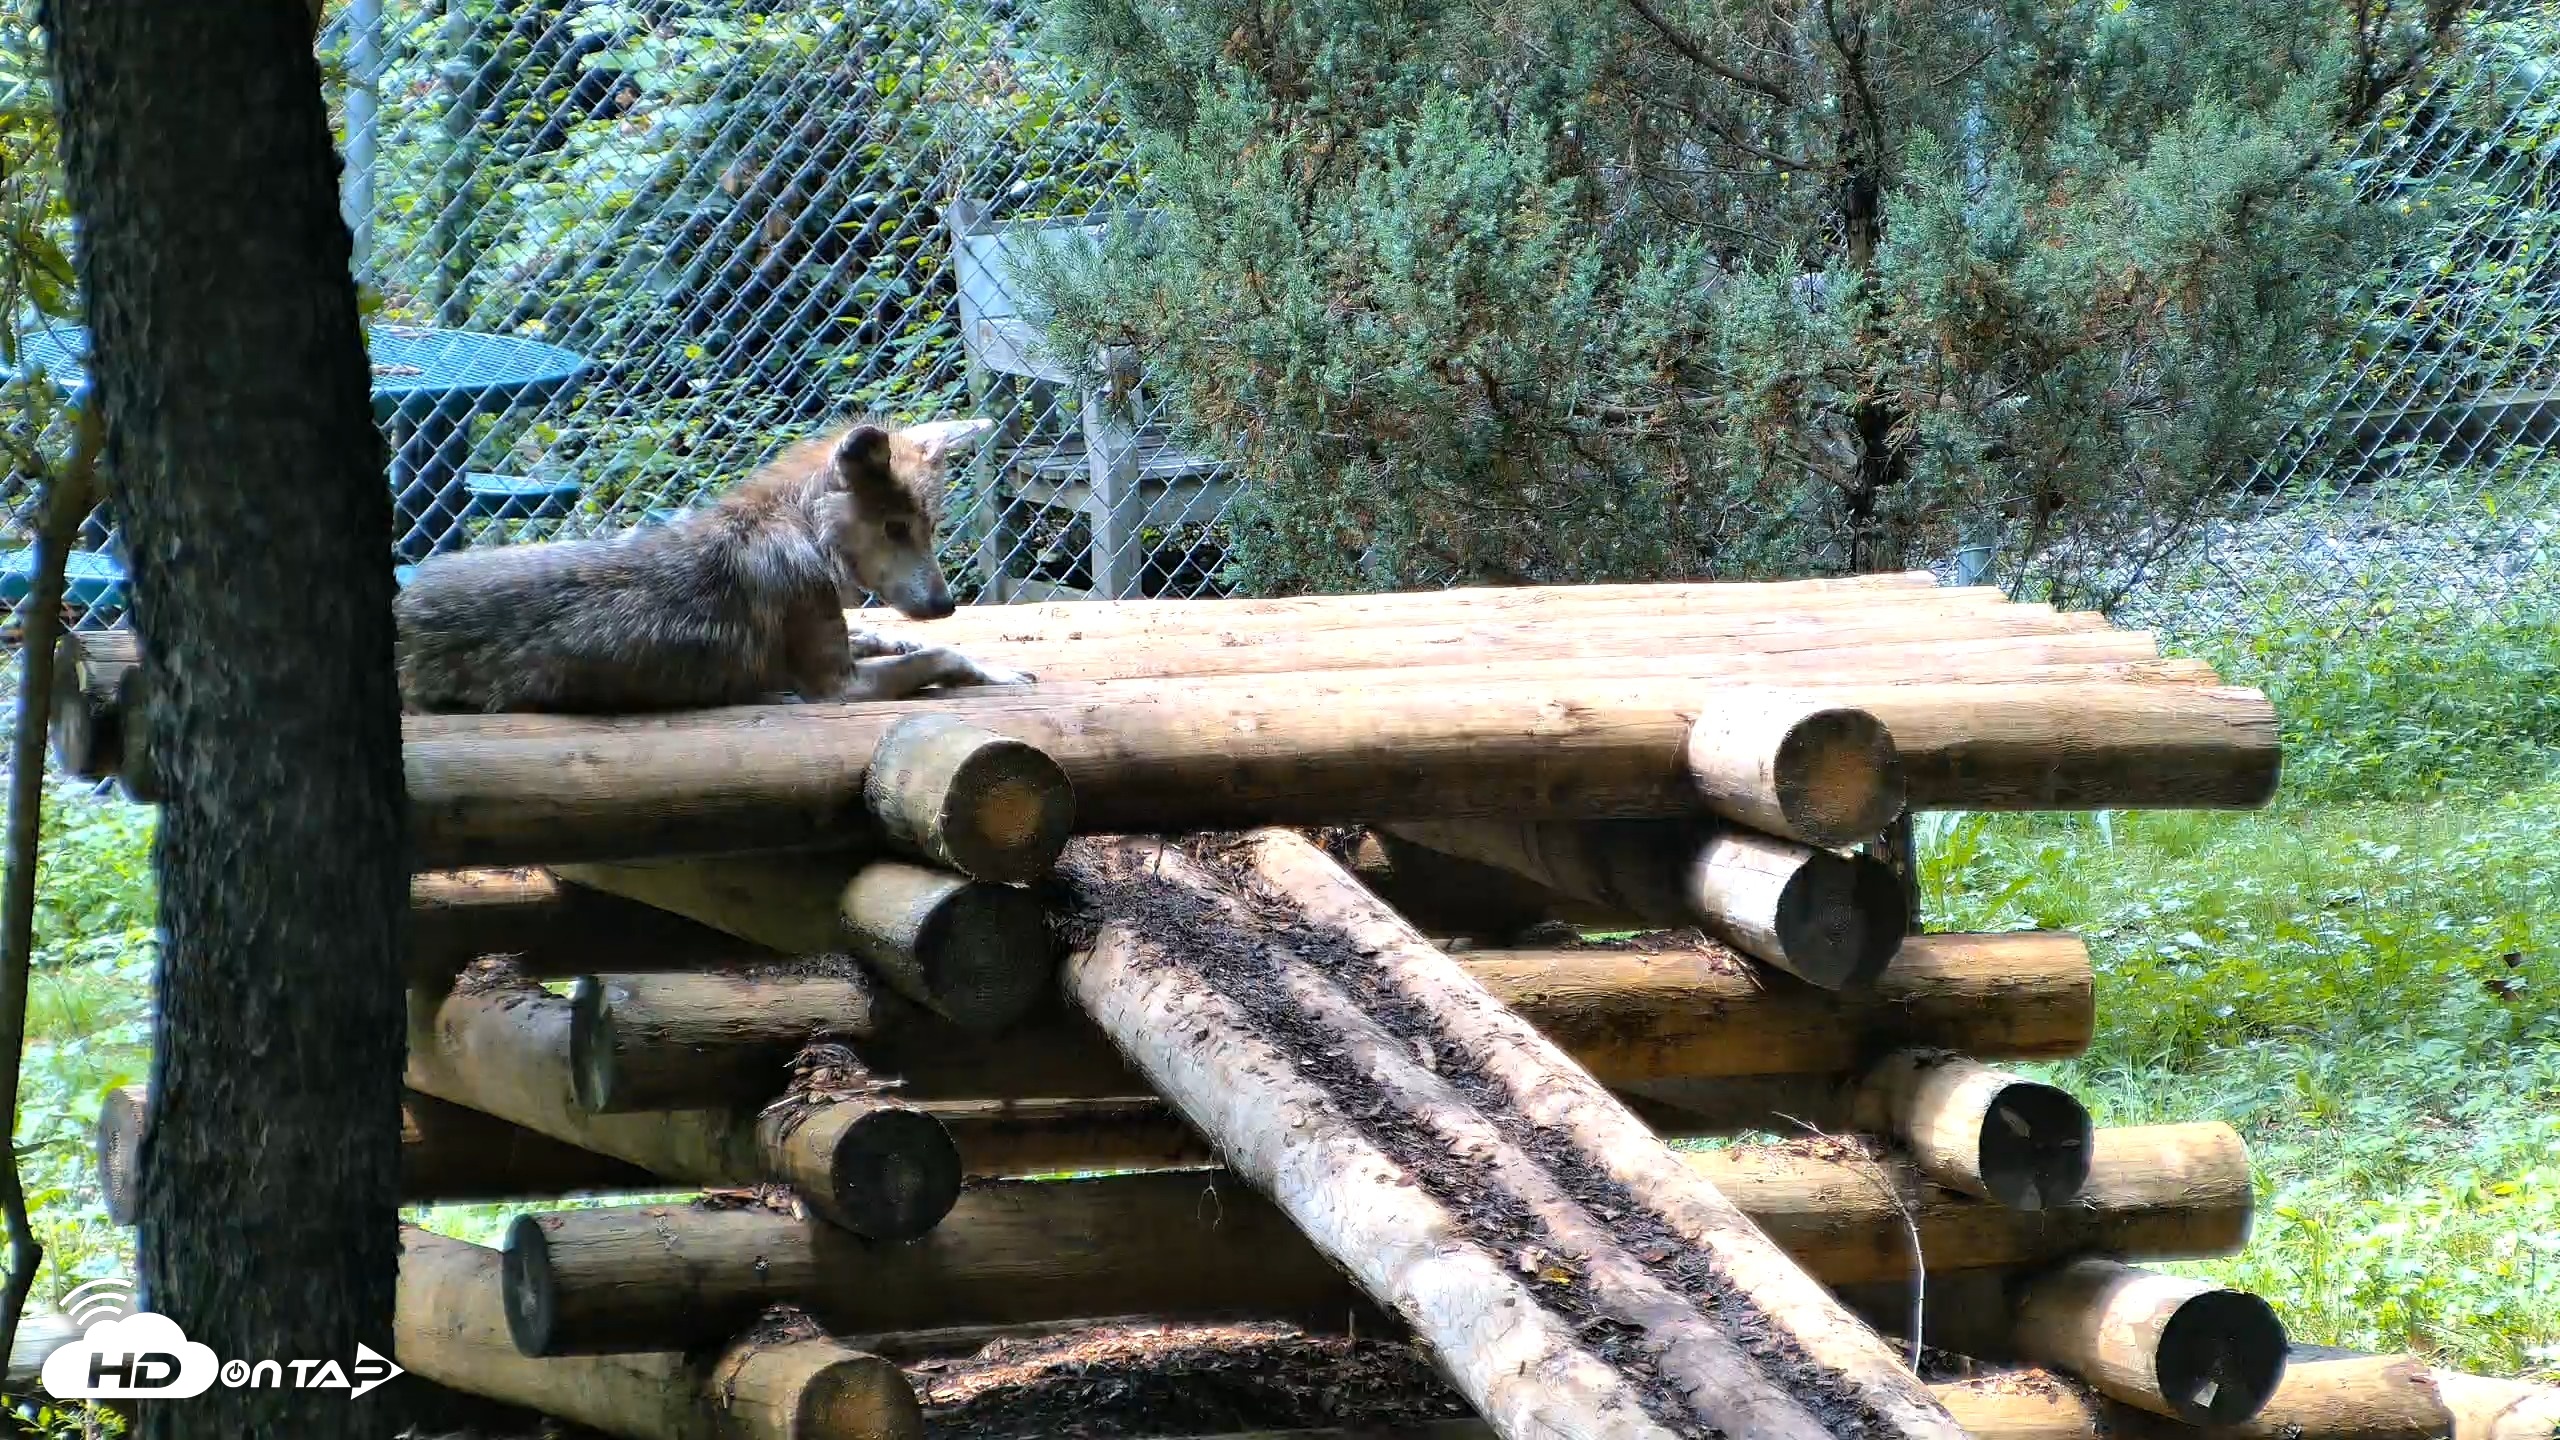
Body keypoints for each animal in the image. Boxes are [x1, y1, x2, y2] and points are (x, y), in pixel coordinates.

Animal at [393, 416, 1034, 714]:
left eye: (930, 527)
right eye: (895, 528)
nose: (946, 605)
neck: (803, 528)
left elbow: (894, 639)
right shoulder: (838, 687)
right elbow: (940, 655)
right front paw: (996, 671)